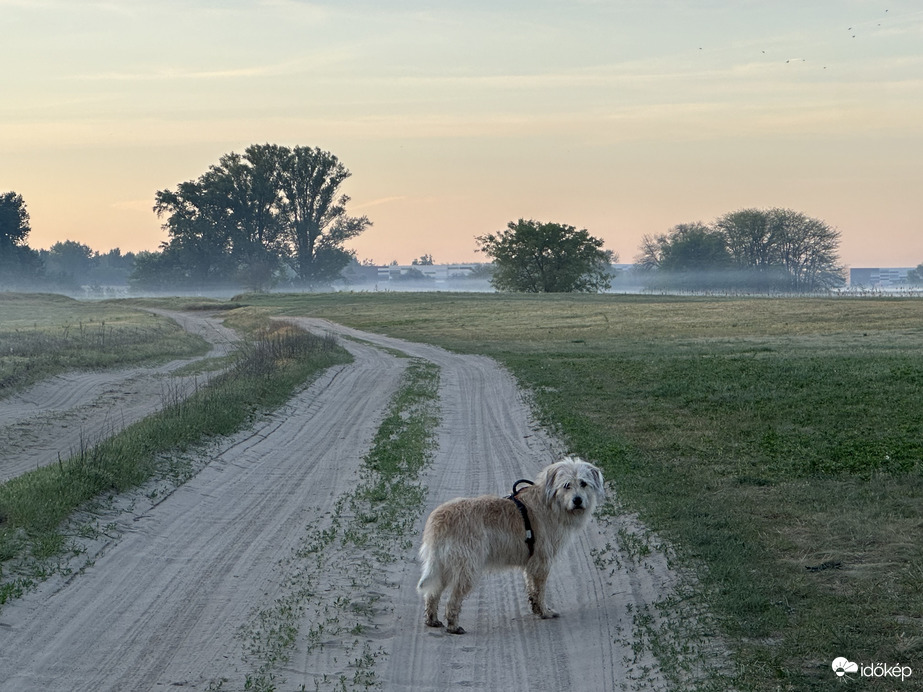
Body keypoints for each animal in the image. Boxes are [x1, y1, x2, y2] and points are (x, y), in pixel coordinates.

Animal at [418, 456, 608, 636]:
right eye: (567, 485)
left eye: (583, 483)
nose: (578, 500)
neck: (551, 503)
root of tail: (438, 520)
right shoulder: (542, 562)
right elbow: (540, 590)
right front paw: (544, 611)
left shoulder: (531, 563)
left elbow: (532, 588)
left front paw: (537, 609)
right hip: (467, 568)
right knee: (452, 600)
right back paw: (453, 626)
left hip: (443, 566)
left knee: (432, 594)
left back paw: (432, 620)